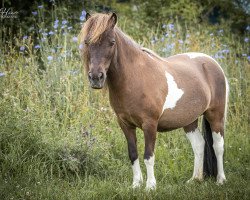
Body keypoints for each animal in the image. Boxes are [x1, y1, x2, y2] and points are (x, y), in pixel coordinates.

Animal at [79, 12, 229, 189]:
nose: (96, 77)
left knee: (218, 146)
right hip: (189, 120)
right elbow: (133, 154)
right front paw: (136, 184)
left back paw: (221, 180)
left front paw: (150, 186)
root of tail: (212, 62)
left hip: (216, 115)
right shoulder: (125, 124)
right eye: (87, 42)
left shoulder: (149, 124)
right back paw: (195, 179)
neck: (134, 78)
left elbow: (148, 156)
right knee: (199, 145)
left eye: (112, 42)